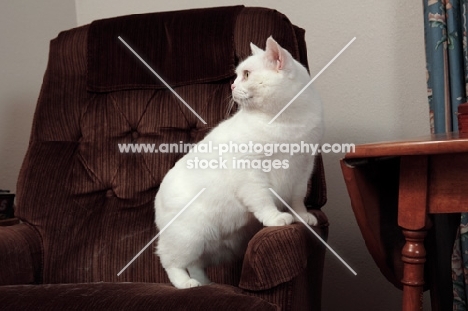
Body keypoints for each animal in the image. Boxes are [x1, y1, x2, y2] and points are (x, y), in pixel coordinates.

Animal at [155, 36, 324, 290]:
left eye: (245, 74)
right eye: (238, 75)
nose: (232, 87)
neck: (285, 123)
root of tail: (157, 200)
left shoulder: (303, 169)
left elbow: (297, 199)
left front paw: (302, 217)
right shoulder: (251, 175)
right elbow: (263, 201)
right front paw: (277, 219)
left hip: (215, 247)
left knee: (196, 264)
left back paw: (206, 284)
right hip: (188, 239)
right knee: (172, 263)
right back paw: (187, 284)